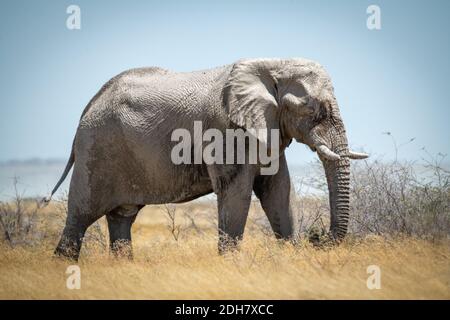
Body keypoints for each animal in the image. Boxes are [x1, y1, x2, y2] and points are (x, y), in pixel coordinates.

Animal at [44, 58, 370, 262]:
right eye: (316, 112)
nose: (317, 237)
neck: (272, 65)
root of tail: (88, 107)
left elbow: (279, 190)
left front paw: (291, 254)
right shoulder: (225, 131)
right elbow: (237, 192)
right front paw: (231, 265)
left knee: (122, 216)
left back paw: (123, 265)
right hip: (96, 150)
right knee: (81, 214)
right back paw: (64, 264)